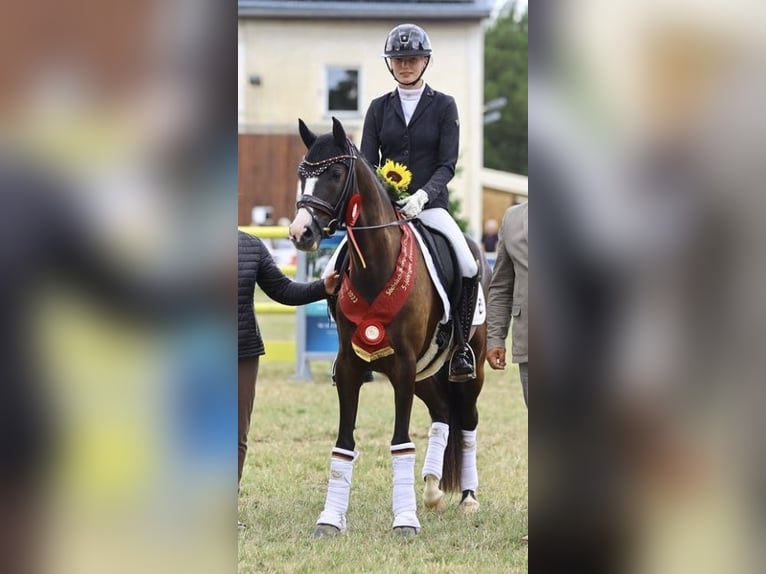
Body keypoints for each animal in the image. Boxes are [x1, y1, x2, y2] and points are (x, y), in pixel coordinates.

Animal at [288, 117, 492, 540]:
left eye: (335, 173)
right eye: (302, 175)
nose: (301, 233)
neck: (377, 266)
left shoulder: (402, 366)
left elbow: (400, 442)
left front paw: (405, 521)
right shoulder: (352, 366)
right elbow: (343, 443)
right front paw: (330, 519)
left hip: (470, 369)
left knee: (467, 421)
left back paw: (467, 498)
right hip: (424, 373)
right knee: (442, 413)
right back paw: (431, 490)